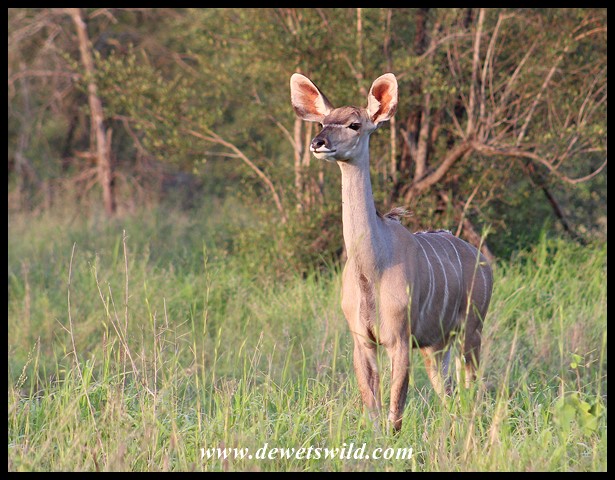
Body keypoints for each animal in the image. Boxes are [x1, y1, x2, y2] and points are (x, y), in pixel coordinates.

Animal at [290, 72, 493, 431]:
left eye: (355, 124)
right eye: (324, 122)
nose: (318, 142)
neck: (372, 267)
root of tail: (485, 263)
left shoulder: (399, 340)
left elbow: (395, 413)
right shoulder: (363, 340)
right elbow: (373, 410)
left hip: (471, 331)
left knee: (472, 388)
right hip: (437, 346)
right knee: (450, 393)